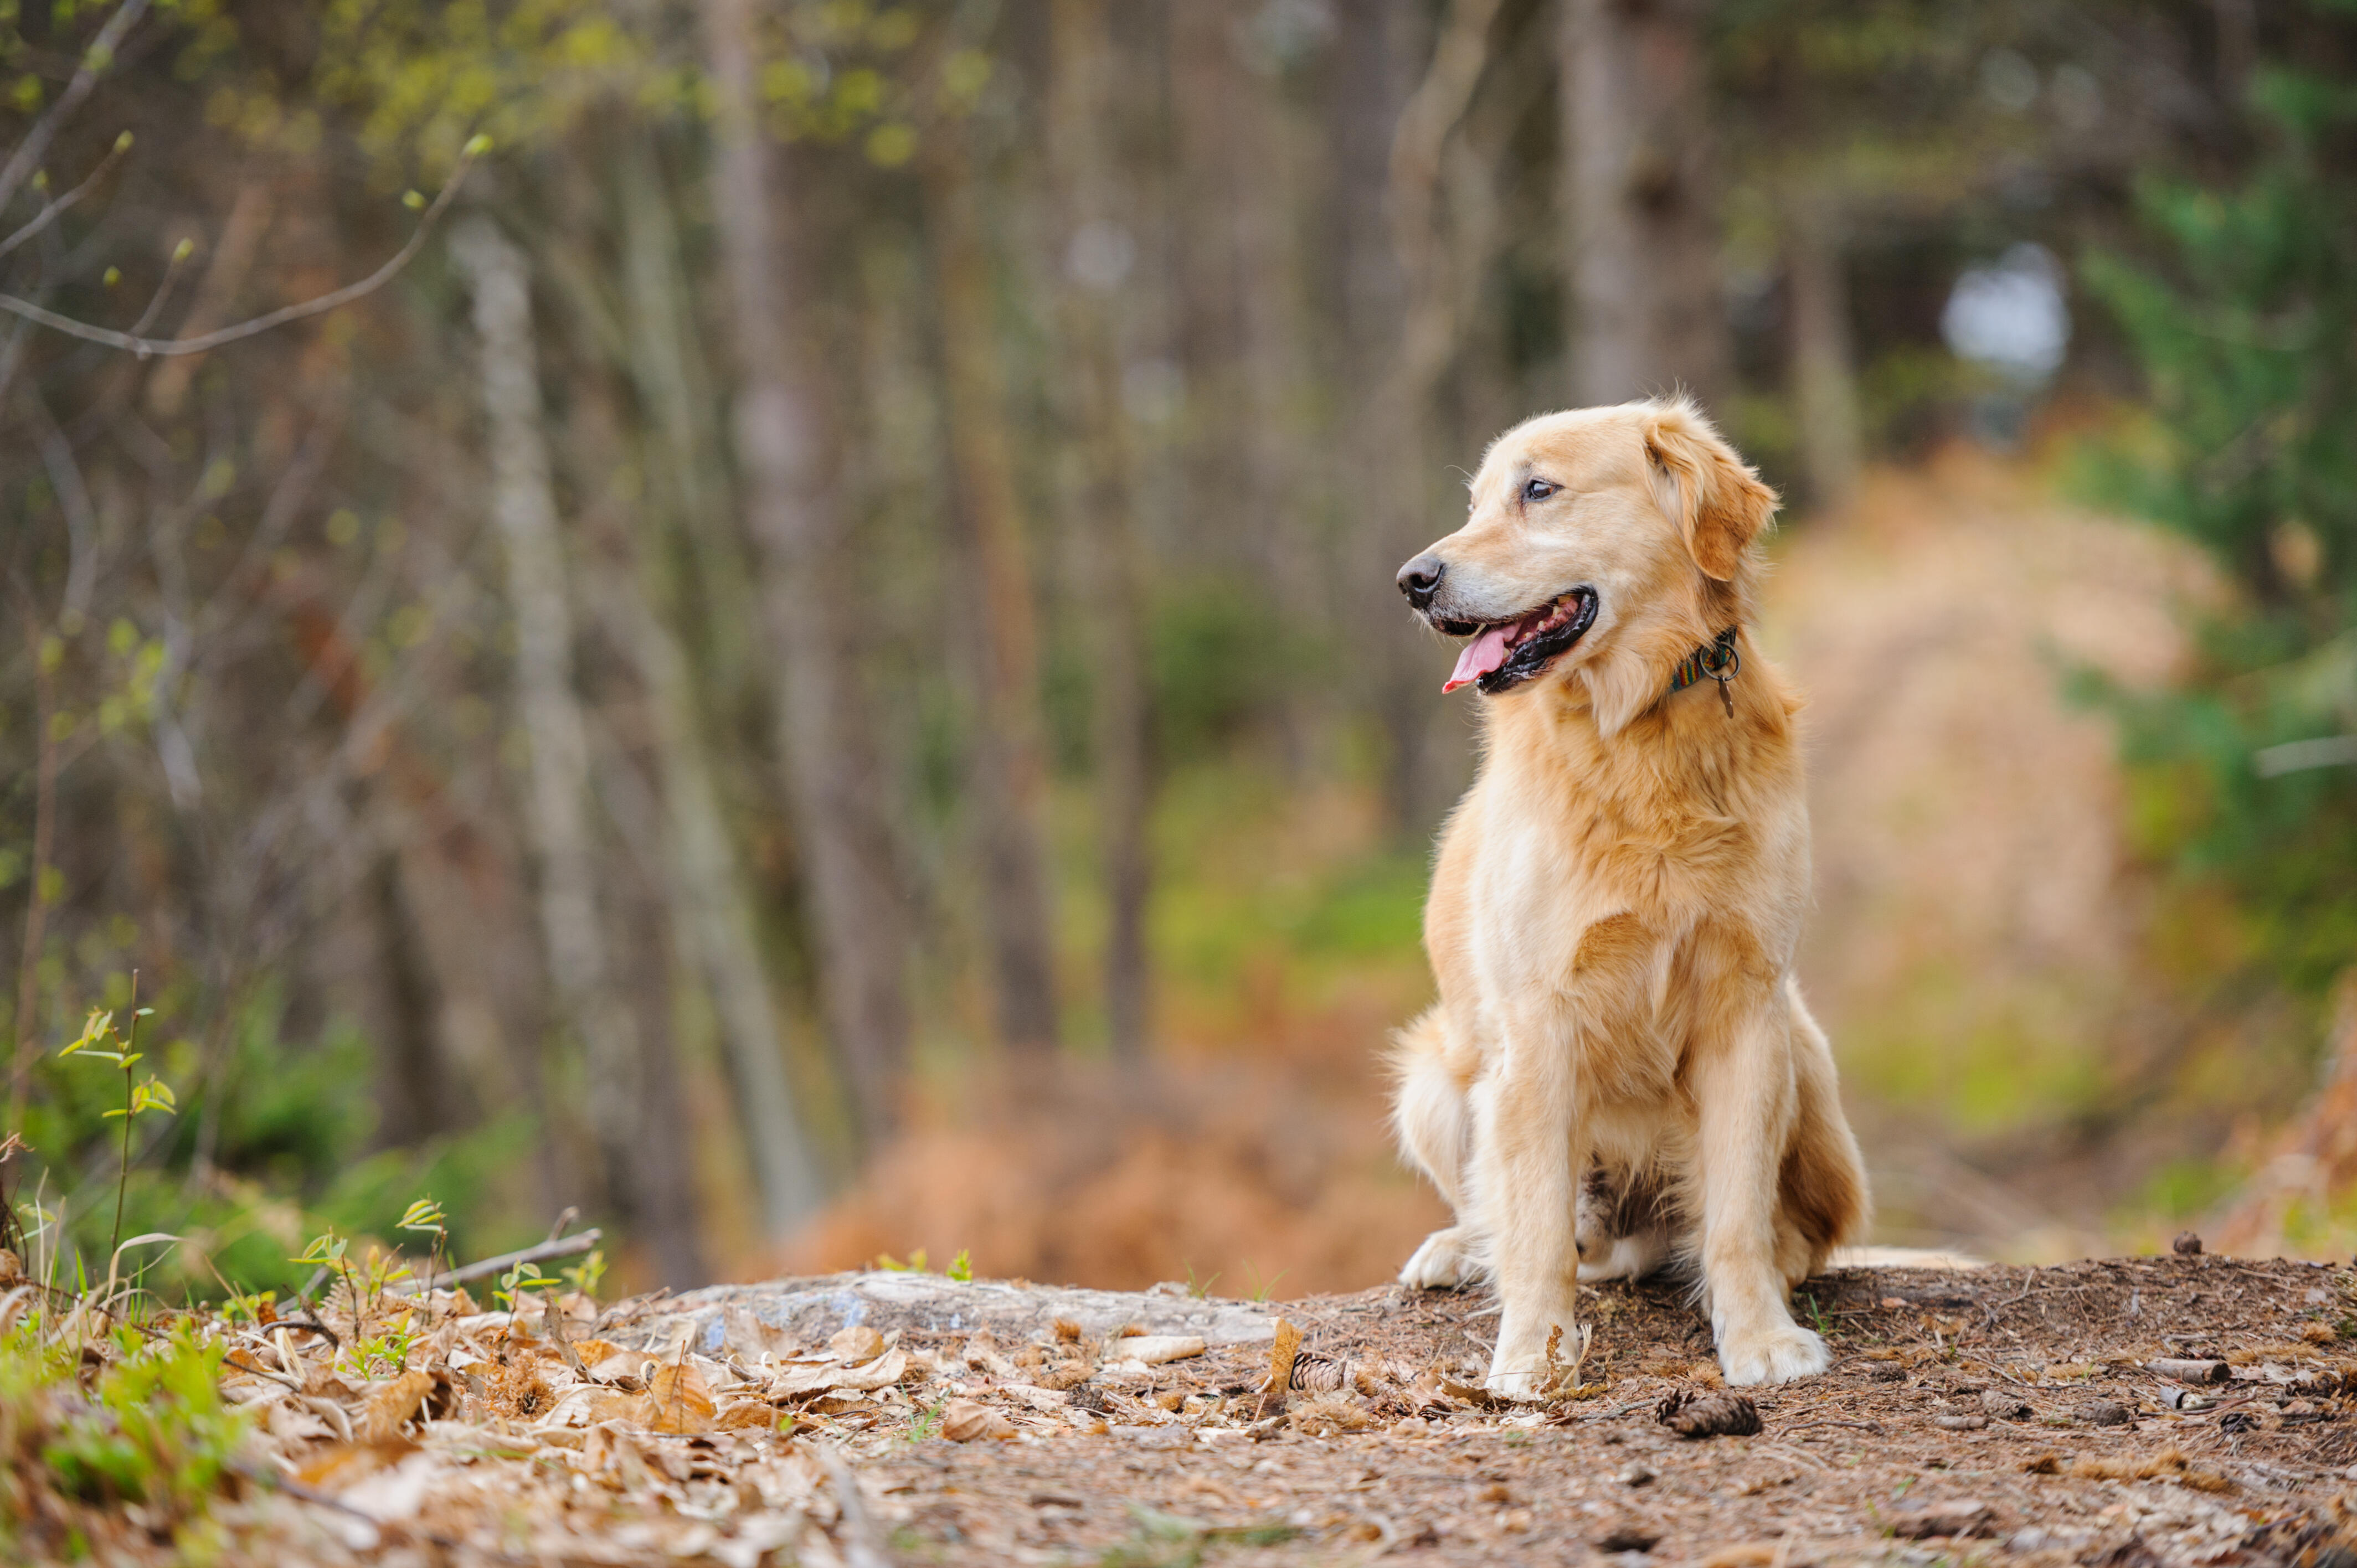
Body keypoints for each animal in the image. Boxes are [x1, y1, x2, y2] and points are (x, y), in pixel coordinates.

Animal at [1386, 398, 1866, 1386]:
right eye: (1476, 501)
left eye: (1539, 490)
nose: (1414, 580)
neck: (1639, 728)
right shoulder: (1536, 1022)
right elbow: (1533, 1226)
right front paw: (1533, 1353)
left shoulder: (1747, 1007)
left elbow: (1737, 1212)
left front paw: (1757, 1334)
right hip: (1436, 1075)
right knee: (1521, 1217)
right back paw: (1462, 1250)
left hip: (1803, 1050)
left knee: (1789, 1232)